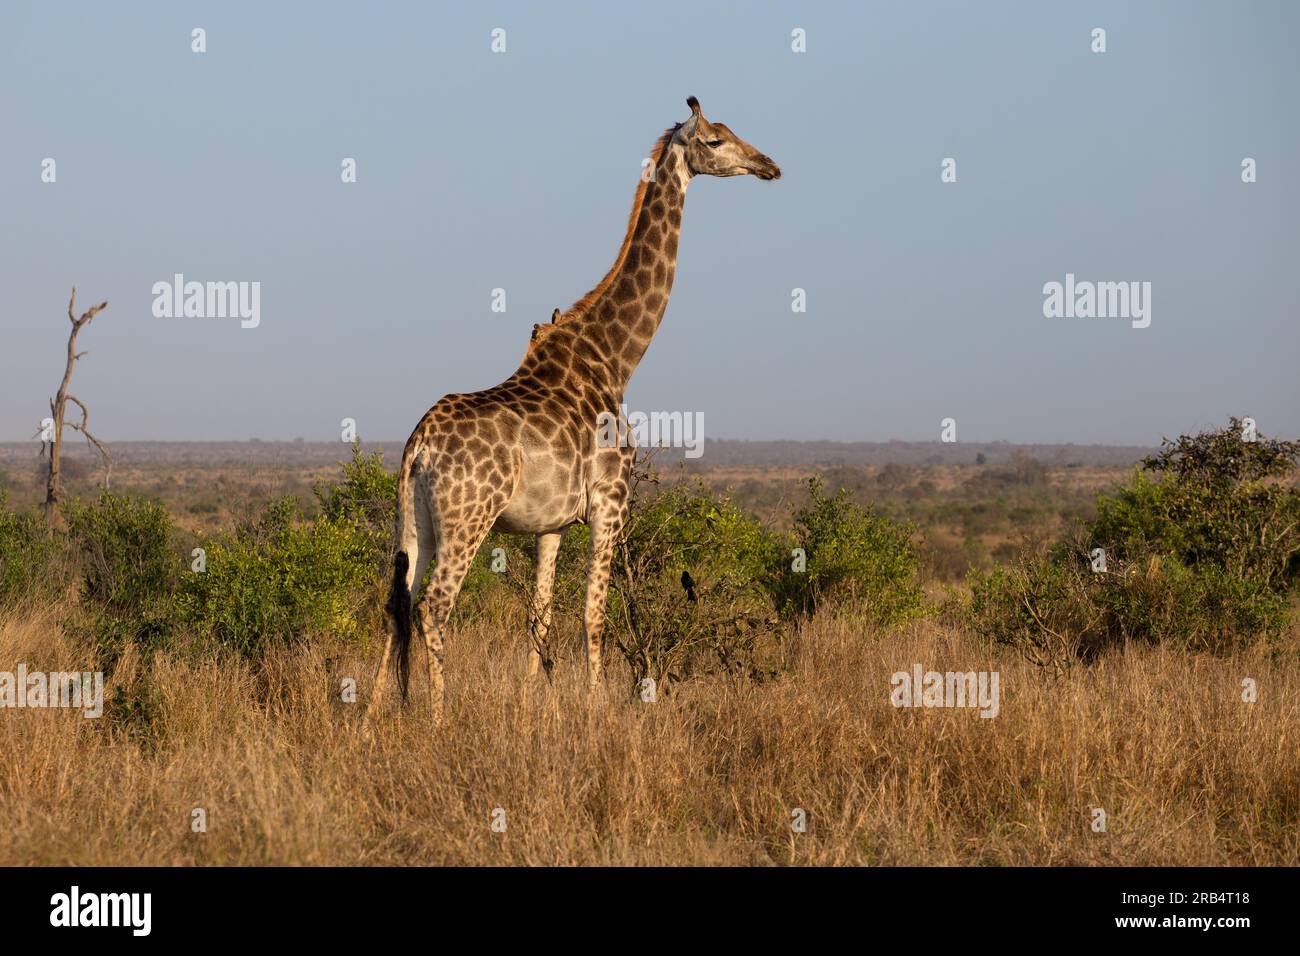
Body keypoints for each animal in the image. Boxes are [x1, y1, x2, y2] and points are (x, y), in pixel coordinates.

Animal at [367, 96, 780, 722]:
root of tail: (420, 444)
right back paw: (438, 717)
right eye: (714, 140)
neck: (615, 358)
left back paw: (372, 717)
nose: (768, 165)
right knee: (434, 606)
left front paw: (535, 710)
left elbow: (539, 618)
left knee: (397, 602)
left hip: (415, 520)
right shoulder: (611, 502)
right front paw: (599, 708)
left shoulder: (552, 523)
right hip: (468, 518)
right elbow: (595, 614)